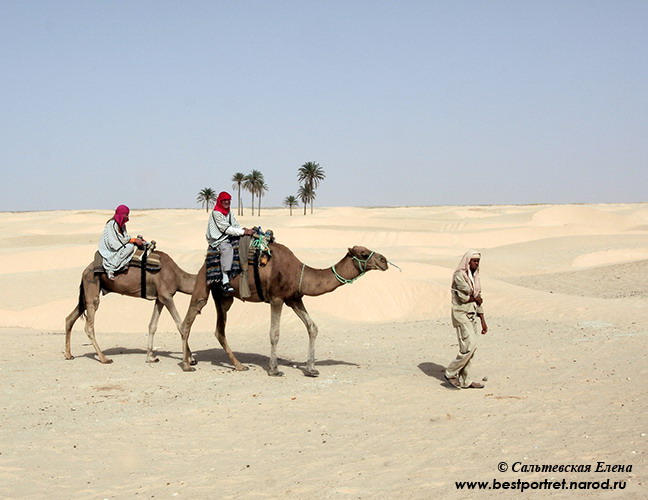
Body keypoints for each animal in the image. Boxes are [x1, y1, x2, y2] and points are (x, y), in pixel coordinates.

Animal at [66, 249, 199, 364]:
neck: (178, 277)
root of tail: (85, 270)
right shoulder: (167, 296)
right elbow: (180, 325)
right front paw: (190, 359)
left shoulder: (160, 298)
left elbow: (152, 326)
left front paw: (150, 357)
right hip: (92, 284)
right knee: (89, 324)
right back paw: (104, 359)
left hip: (87, 292)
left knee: (70, 318)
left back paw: (68, 355)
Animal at [180, 244, 388, 376]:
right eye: (363, 253)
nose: (384, 260)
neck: (299, 274)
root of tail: (203, 264)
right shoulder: (277, 298)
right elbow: (275, 333)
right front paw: (274, 369)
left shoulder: (294, 298)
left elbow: (312, 327)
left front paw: (311, 369)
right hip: (203, 285)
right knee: (187, 322)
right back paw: (187, 365)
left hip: (224, 297)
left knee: (219, 330)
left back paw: (238, 365)